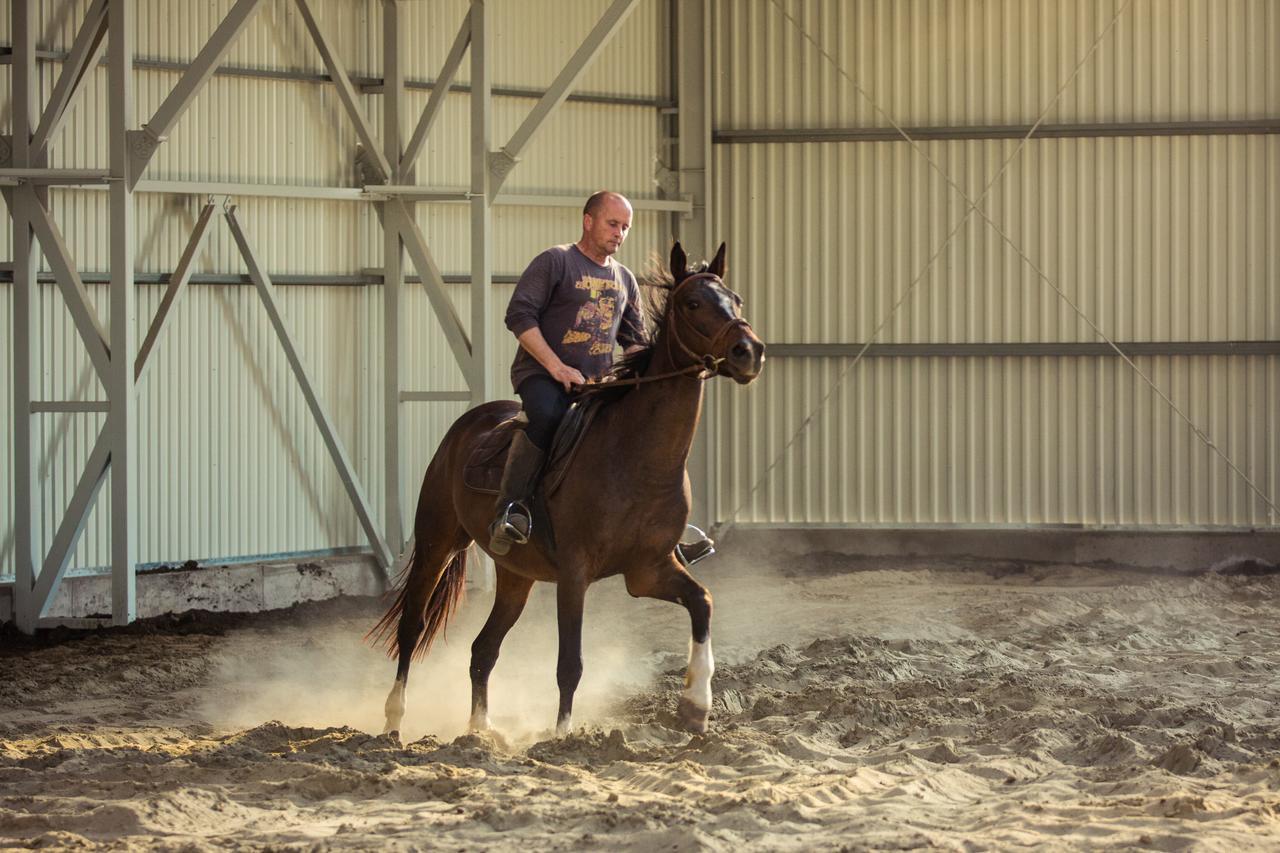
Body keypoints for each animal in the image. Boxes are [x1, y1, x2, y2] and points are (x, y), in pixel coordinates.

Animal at [371, 242, 762, 732]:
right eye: (693, 303)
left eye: (737, 300)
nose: (750, 351)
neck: (636, 458)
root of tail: (466, 426)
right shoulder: (575, 574)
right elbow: (569, 664)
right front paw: (562, 735)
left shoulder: (649, 570)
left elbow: (702, 602)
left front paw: (695, 706)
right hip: (436, 543)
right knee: (413, 626)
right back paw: (394, 719)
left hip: (516, 575)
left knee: (483, 650)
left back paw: (481, 731)